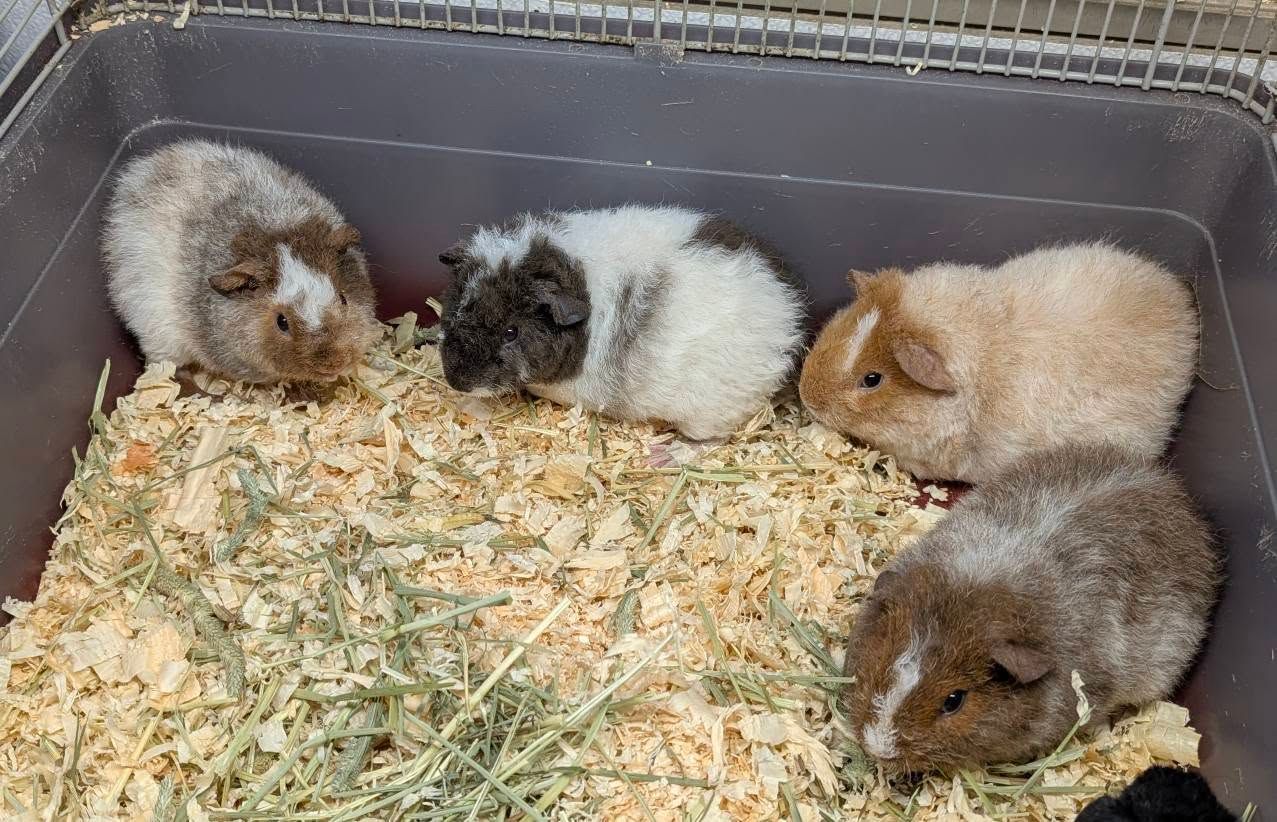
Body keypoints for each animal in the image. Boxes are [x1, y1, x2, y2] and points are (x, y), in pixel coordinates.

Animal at [103, 140, 379, 385]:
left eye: (343, 299)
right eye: (281, 322)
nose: (334, 363)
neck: (275, 234)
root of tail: (140, 169)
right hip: (161, 340)